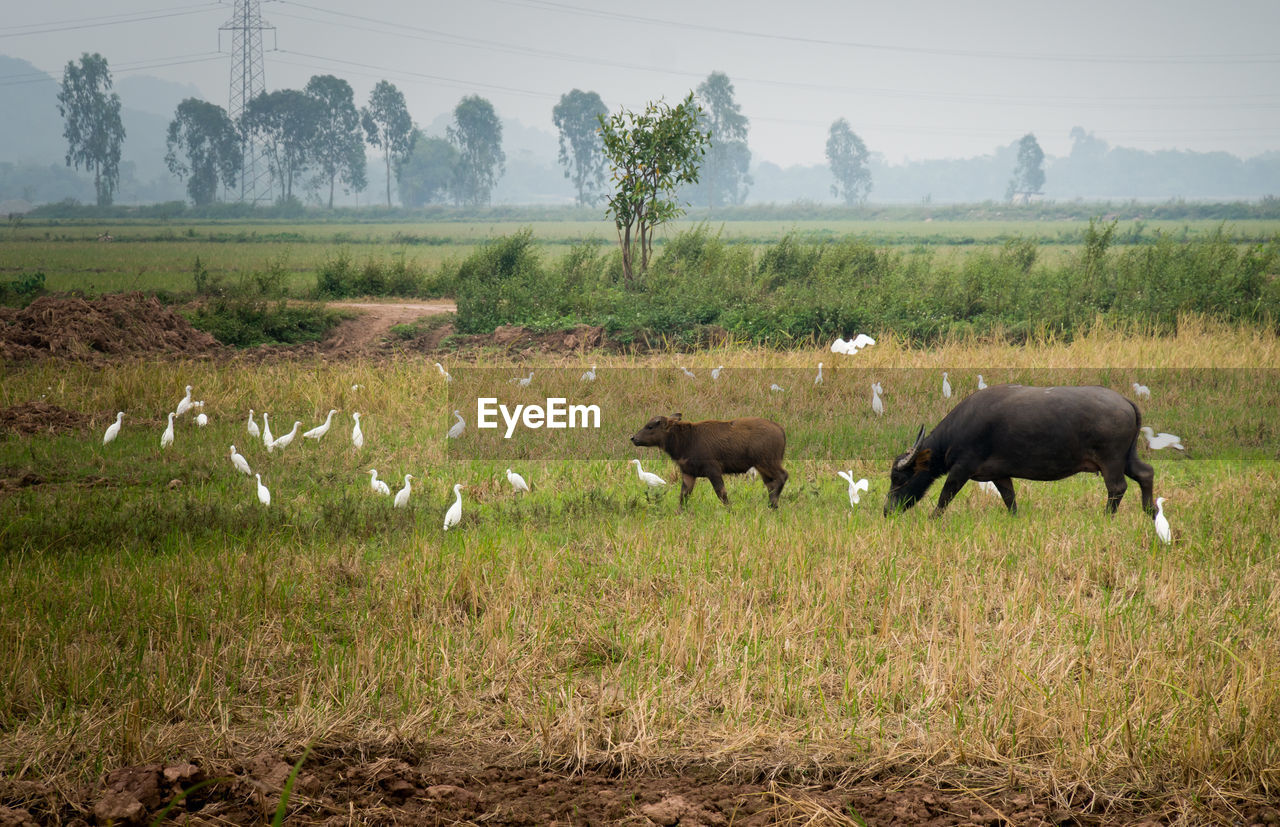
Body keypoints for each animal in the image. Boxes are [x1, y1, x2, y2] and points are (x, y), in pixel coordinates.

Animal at [632, 412, 788, 509]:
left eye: (650, 426)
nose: (633, 438)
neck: (682, 444)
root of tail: (782, 431)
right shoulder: (689, 472)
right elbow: (683, 496)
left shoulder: (713, 469)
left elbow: (722, 493)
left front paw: (730, 510)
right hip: (762, 467)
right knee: (771, 484)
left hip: (767, 461)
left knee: (783, 476)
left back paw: (773, 504)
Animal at [885, 386, 1157, 517]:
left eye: (898, 478)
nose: (888, 510)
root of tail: (1125, 402)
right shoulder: (999, 474)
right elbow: (1010, 499)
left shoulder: (962, 468)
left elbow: (945, 496)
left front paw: (933, 518)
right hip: (1128, 457)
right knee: (1145, 473)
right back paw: (1150, 511)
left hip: (1111, 460)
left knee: (1117, 487)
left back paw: (1107, 516)